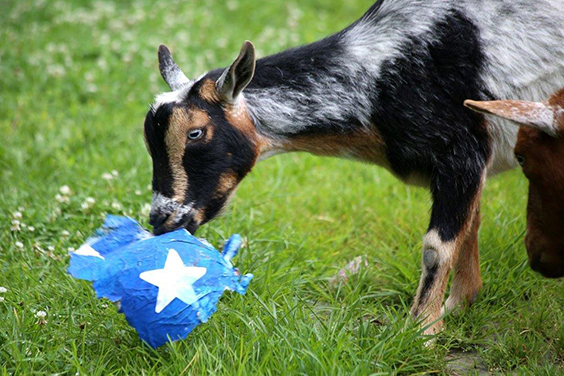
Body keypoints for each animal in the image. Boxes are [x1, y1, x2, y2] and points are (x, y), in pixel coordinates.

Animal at [143, 0, 564, 334]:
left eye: (196, 132)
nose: (162, 219)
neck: (382, 73)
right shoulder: (471, 165)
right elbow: (469, 226)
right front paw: (459, 305)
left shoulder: (461, 151)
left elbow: (437, 246)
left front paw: (421, 333)